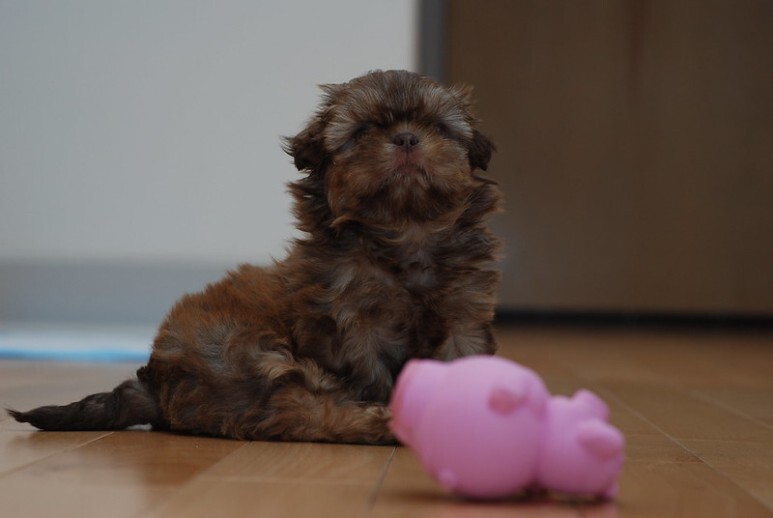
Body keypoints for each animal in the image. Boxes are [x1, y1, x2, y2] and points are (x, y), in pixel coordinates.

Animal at [10, 69, 500, 444]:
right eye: (364, 131)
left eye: (437, 127)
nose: (406, 139)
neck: (402, 231)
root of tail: (155, 382)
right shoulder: (352, 323)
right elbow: (370, 374)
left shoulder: (464, 312)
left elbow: (464, 357)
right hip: (247, 356)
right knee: (305, 412)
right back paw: (381, 425)